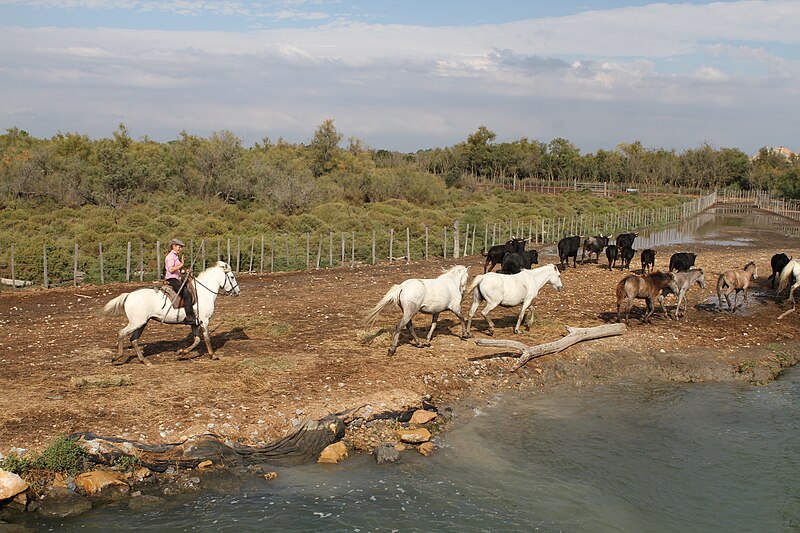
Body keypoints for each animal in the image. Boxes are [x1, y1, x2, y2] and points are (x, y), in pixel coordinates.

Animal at [101, 262, 238, 366]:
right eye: (231, 277)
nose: (237, 291)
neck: (203, 292)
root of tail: (129, 295)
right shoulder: (205, 320)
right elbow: (206, 338)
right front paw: (212, 355)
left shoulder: (195, 323)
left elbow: (197, 340)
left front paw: (181, 352)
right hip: (137, 322)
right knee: (122, 333)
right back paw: (117, 356)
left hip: (142, 323)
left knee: (133, 340)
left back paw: (144, 361)